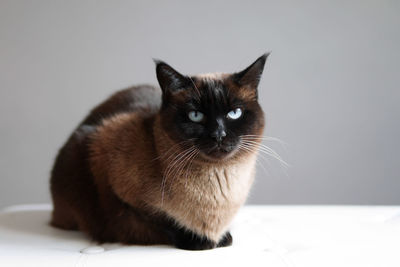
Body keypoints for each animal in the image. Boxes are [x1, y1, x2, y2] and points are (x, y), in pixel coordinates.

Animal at [49, 54, 268, 251]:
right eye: (196, 115)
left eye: (234, 113)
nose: (218, 135)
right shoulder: (108, 162)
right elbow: (162, 220)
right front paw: (201, 241)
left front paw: (222, 238)